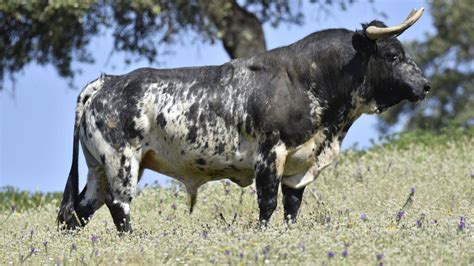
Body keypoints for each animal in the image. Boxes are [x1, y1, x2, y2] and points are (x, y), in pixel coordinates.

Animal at [56, 8, 430, 232]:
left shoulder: (298, 167)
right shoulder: (269, 154)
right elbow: (267, 204)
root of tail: (107, 81)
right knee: (119, 207)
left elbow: (291, 207)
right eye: (392, 55)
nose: (425, 85)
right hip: (121, 163)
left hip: (98, 169)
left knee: (79, 210)